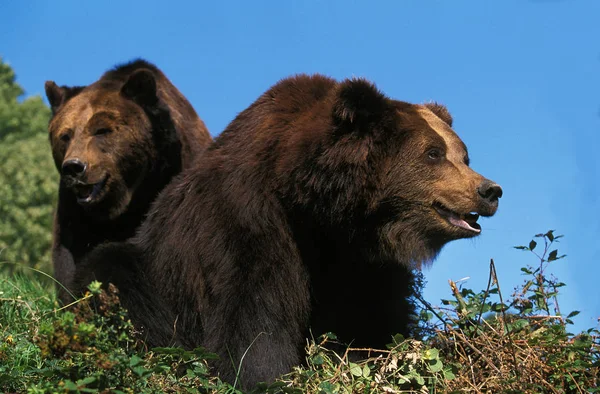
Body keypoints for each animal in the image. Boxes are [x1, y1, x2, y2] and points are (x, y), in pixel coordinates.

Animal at [79, 73, 502, 388]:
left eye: (463, 155)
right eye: (433, 153)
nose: (490, 190)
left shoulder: (363, 261)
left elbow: (371, 317)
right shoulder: (249, 223)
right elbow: (254, 319)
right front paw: (263, 375)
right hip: (150, 271)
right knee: (118, 279)